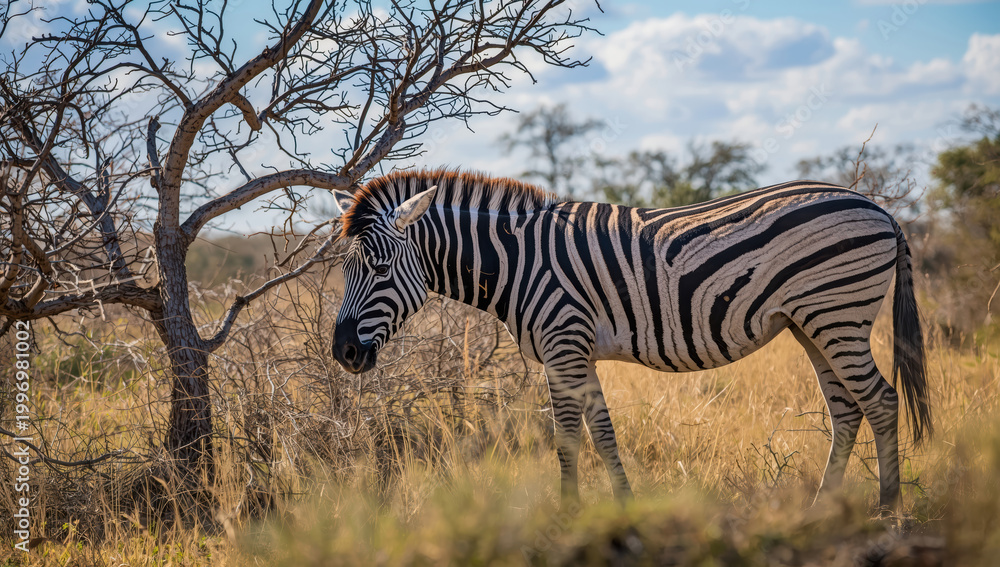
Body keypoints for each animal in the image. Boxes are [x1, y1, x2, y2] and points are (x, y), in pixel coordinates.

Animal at [330, 169, 931, 510]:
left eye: (379, 269)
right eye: (344, 268)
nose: (344, 353)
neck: (518, 261)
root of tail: (879, 208)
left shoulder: (562, 344)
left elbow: (567, 439)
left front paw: (568, 516)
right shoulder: (577, 351)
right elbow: (603, 434)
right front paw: (621, 509)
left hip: (837, 314)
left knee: (880, 401)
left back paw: (889, 513)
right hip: (813, 324)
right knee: (847, 410)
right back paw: (821, 509)